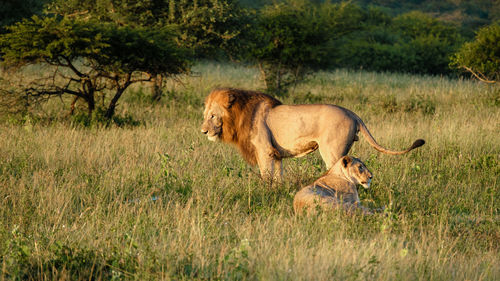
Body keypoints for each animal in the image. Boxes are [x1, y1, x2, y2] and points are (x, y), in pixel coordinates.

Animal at [201, 88, 424, 179]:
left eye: (213, 116)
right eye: (205, 115)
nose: (203, 131)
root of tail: (352, 113)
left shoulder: (265, 152)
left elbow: (266, 176)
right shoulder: (276, 155)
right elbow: (278, 177)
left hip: (332, 151)